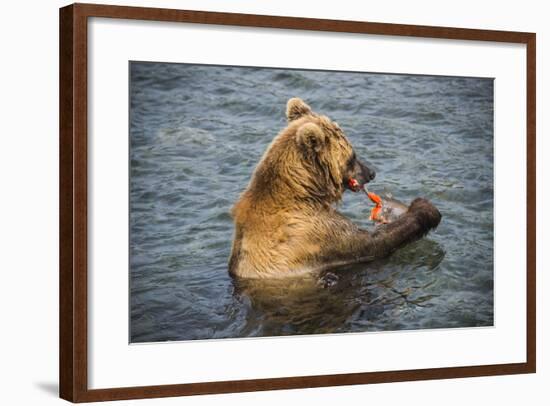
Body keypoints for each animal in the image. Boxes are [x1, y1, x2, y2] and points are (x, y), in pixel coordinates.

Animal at [230, 96, 444, 278]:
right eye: (352, 156)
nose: (371, 172)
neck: (302, 191)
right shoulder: (314, 233)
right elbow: (373, 242)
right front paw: (425, 208)